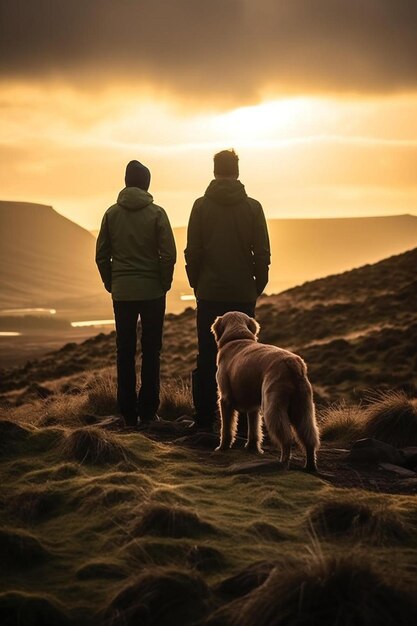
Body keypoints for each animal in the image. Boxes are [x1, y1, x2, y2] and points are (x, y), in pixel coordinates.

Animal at [211, 310, 318, 470]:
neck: (237, 338)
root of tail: (292, 363)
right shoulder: (253, 406)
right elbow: (254, 429)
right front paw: (252, 448)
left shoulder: (225, 399)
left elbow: (226, 428)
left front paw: (222, 447)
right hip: (303, 407)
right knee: (309, 437)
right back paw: (310, 466)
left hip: (273, 406)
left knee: (287, 438)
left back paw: (283, 461)